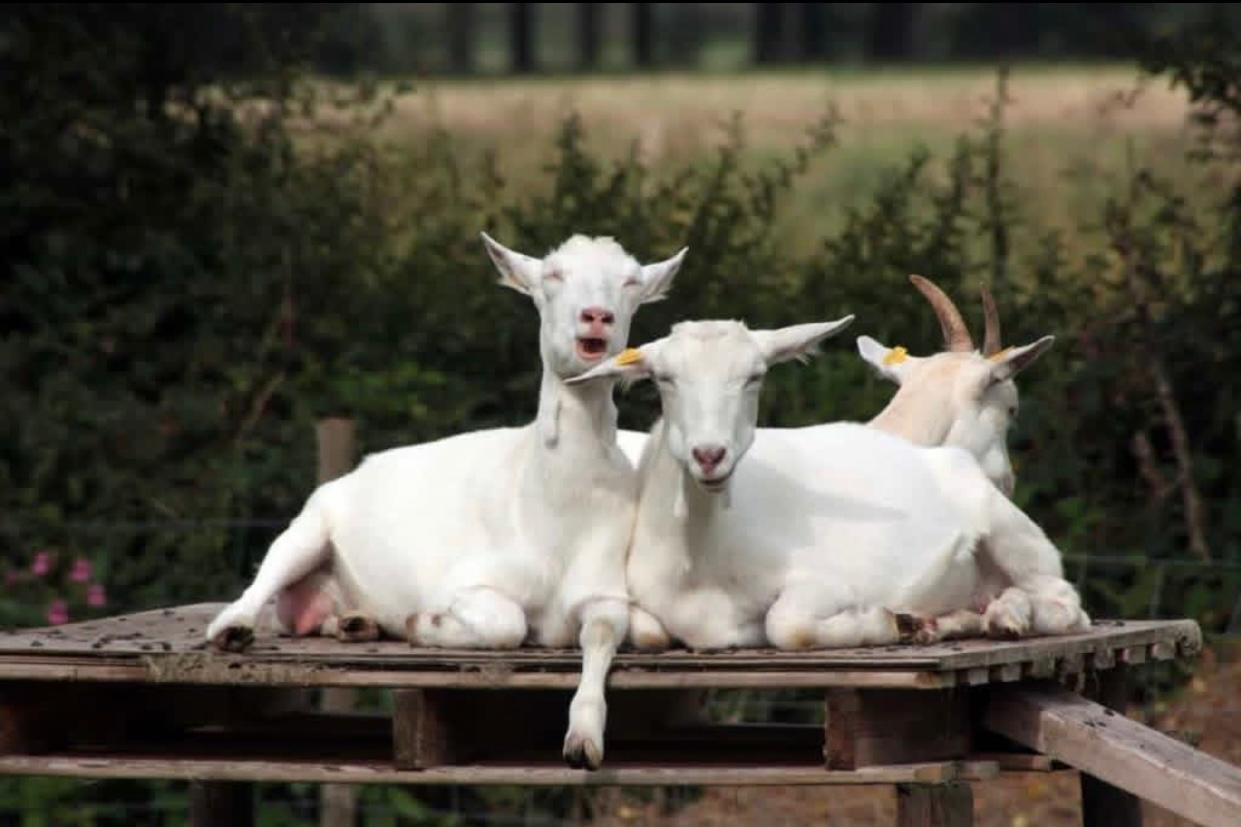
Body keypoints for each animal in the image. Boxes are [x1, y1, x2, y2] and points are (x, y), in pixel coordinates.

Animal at [206, 233, 688, 769]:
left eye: (631, 282)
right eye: (551, 276)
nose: (596, 316)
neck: (551, 513)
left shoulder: (603, 586)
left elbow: (610, 634)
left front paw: (583, 739)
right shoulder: (465, 579)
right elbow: (507, 624)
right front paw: (427, 623)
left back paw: (355, 622)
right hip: (310, 524)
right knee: (265, 577)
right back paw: (234, 627)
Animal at [570, 319, 1090, 652]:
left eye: (755, 376)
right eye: (663, 378)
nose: (710, 454)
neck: (701, 563)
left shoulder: (826, 582)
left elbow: (785, 625)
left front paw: (883, 620)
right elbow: (647, 632)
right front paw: (908, 622)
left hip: (1013, 534)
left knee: (1066, 603)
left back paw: (1004, 618)